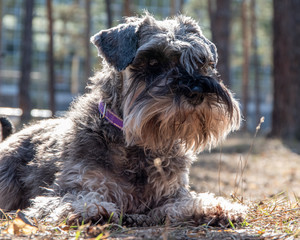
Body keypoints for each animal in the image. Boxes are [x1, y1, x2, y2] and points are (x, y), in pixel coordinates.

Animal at [0, 14, 246, 226]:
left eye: (202, 62)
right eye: (153, 61)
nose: (196, 91)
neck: (137, 143)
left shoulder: (172, 192)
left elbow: (187, 201)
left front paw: (217, 207)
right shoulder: (68, 188)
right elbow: (76, 199)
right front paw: (91, 208)